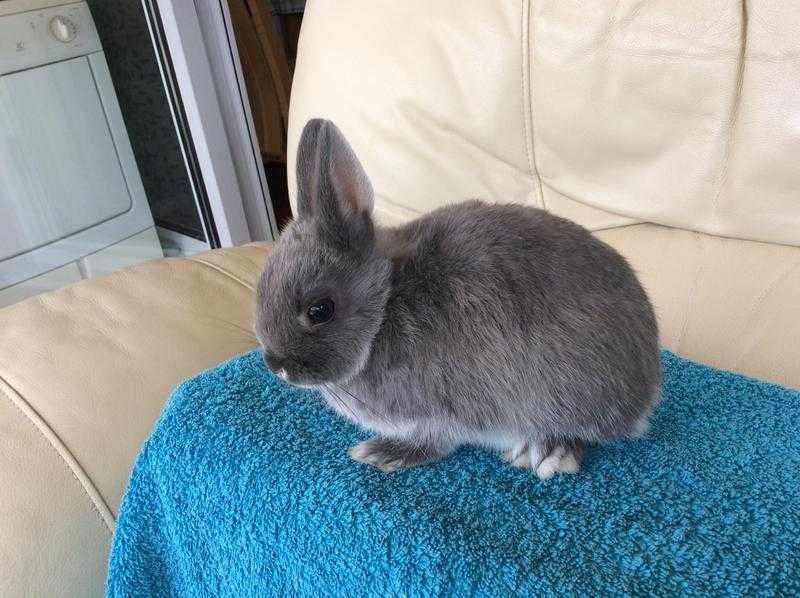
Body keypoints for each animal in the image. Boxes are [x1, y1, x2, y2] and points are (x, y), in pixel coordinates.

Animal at [258, 119, 664, 480]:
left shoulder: (445, 410)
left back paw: (548, 452)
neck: (386, 303)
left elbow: (437, 440)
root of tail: (646, 392)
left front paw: (382, 453)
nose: (276, 365)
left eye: (319, 310)